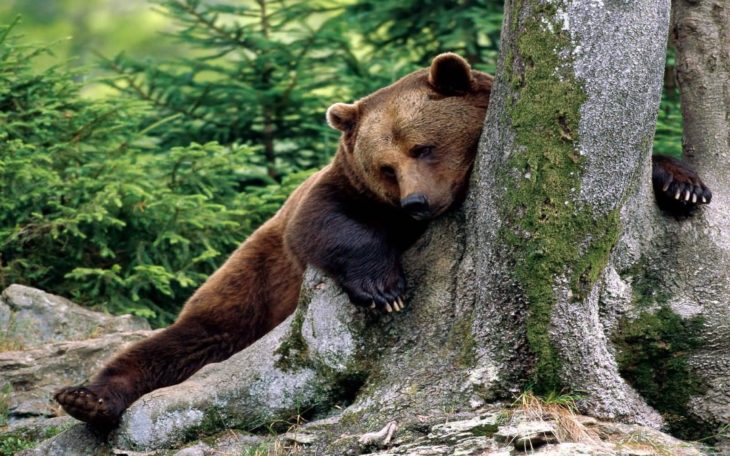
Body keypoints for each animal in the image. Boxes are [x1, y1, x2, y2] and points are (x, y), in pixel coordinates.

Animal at [57, 53, 712, 428]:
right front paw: (384, 287)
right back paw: (88, 398)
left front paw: (683, 185)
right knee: (184, 342)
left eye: (423, 147)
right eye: (385, 166)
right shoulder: (336, 193)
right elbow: (327, 221)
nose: (417, 204)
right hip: (248, 286)